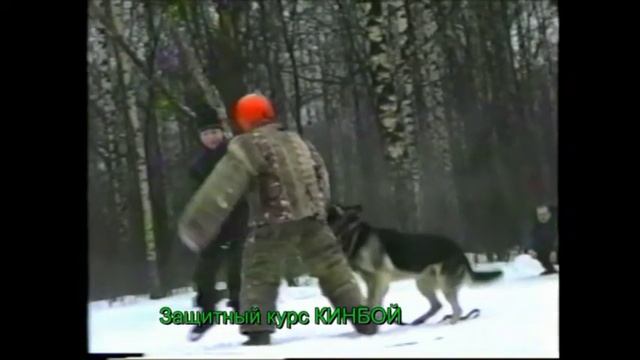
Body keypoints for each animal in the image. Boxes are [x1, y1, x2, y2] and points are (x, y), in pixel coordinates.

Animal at [328, 204, 502, 324]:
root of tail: (459, 250)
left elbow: (374, 301)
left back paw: (451, 323)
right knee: (437, 305)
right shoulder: (371, 280)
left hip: (444, 284)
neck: (353, 234)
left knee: (457, 309)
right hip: (423, 283)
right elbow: (370, 300)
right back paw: (420, 321)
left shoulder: (380, 278)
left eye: (331, 215)